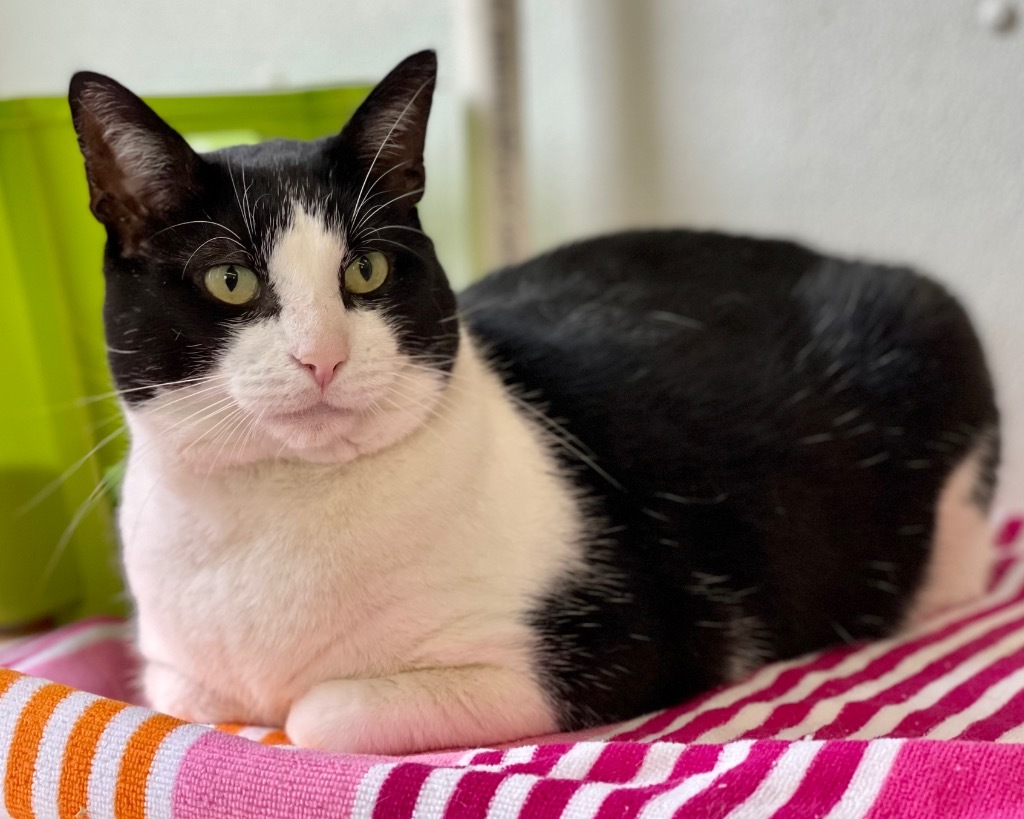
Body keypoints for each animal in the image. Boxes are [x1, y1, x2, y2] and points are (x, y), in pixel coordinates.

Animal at [70, 51, 999, 753]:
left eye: (366, 270)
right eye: (229, 280)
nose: (322, 356)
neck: (277, 509)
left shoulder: (616, 648)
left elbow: (315, 715)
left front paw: (299, 704)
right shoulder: (173, 675)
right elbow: (192, 702)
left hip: (928, 337)